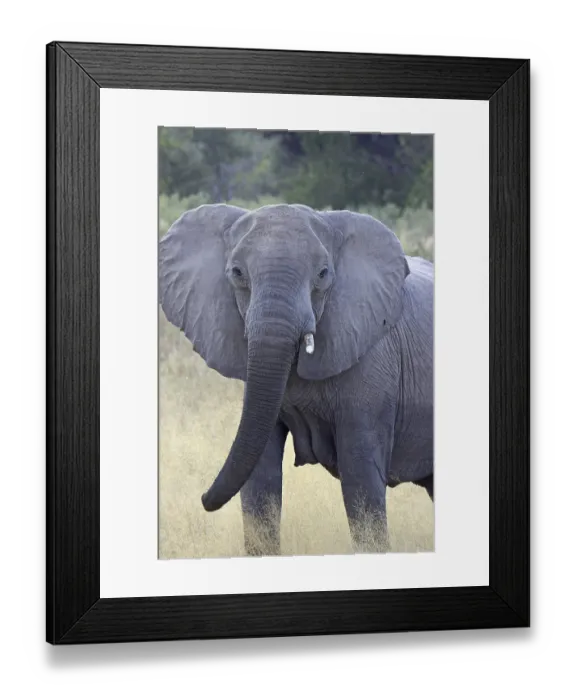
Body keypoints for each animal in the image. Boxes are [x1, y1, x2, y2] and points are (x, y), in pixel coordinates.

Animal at [159, 202, 433, 556]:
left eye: (323, 274)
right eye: (237, 273)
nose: (203, 499)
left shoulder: (374, 361)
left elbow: (361, 479)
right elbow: (259, 474)